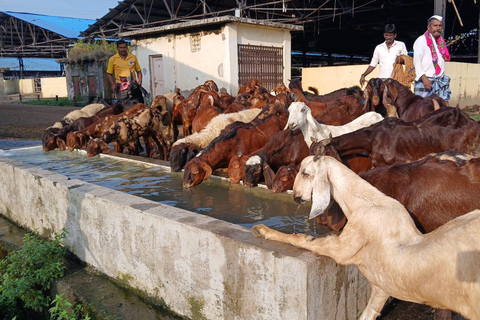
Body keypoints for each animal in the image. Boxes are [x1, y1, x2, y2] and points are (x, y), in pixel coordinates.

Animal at [251, 154, 480, 318]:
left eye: (306, 173)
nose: (297, 197)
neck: (368, 203)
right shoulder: (381, 287)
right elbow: (369, 313)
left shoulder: (343, 247)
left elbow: (303, 239)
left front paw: (262, 230)